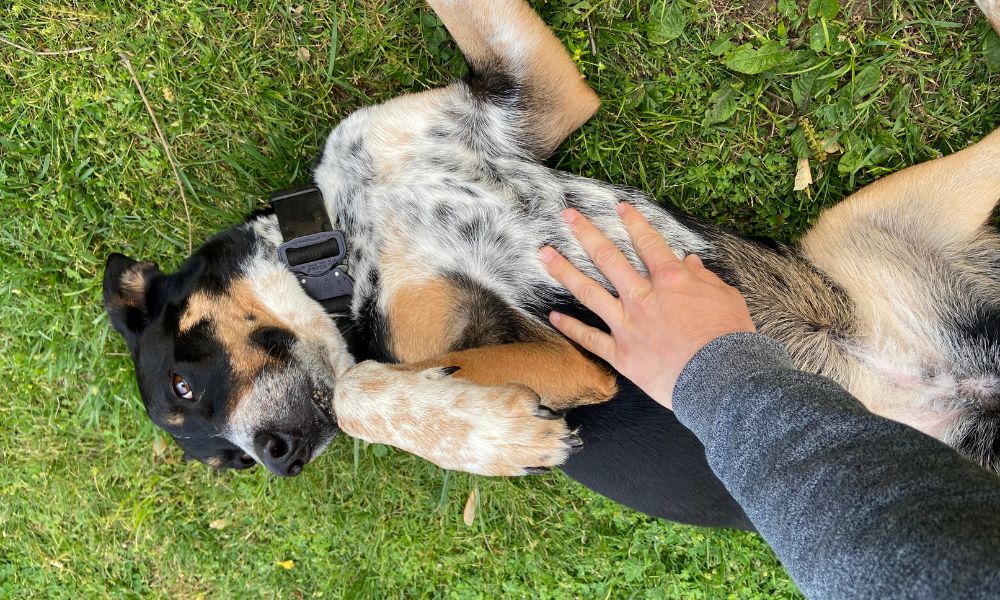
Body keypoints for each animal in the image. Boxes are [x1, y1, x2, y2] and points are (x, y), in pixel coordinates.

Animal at [101, 0, 1000, 528]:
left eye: (183, 382)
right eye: (226, 463)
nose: (279, 458)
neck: (339, 241)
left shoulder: (528, 90)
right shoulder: (570, 361)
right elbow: (359, 392)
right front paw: (497, 438)